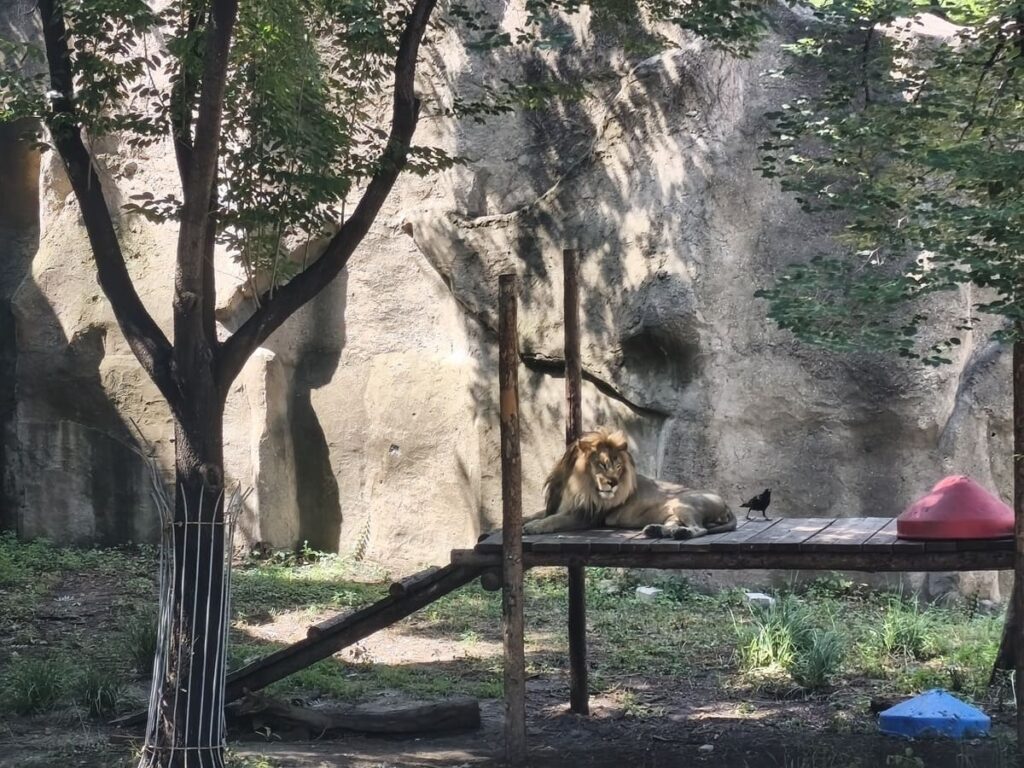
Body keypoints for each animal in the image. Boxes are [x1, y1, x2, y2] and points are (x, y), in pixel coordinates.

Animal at [522, 428, 736, 540]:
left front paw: (534, 527)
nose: (614, 483)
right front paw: (526, 519)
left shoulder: (587, 517)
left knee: (701, 529)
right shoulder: (560, 505)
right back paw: (657, 530)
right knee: (676, 525)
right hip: (672, 512)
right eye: (602, 464)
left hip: (683, 502)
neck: (576, 485)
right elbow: (539, 514)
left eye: (618, 466)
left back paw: (681, 533)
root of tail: (726, 504)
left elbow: (554, 520)